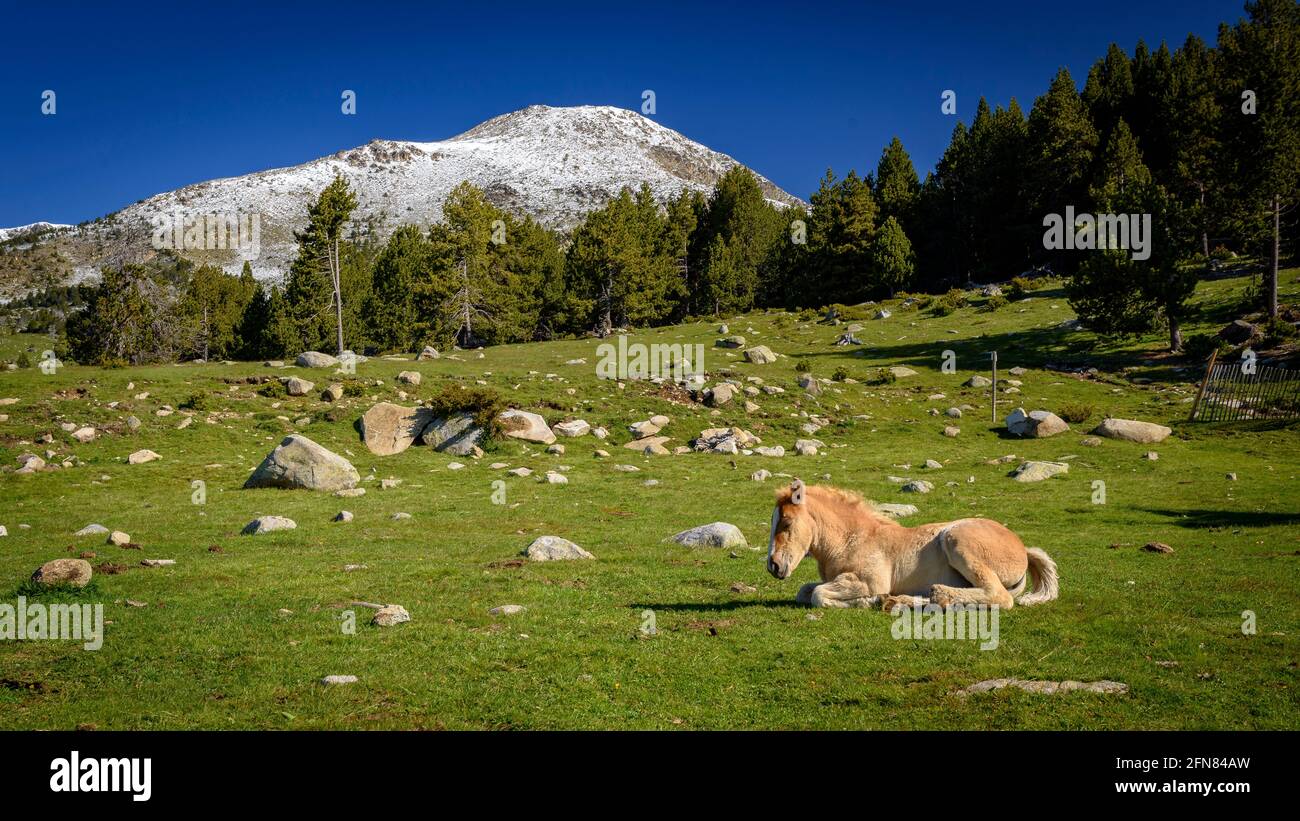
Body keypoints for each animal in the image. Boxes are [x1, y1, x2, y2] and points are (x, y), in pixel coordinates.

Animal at [764, 478, 1060, 605]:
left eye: (786, 523)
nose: (774, 566)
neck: (851, 540)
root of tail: (1023, 549)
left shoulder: (868, 581)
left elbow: (817, 595)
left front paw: (866, 601)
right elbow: (806, 590)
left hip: (957, 541)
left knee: (999, 596)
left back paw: (937, 594)